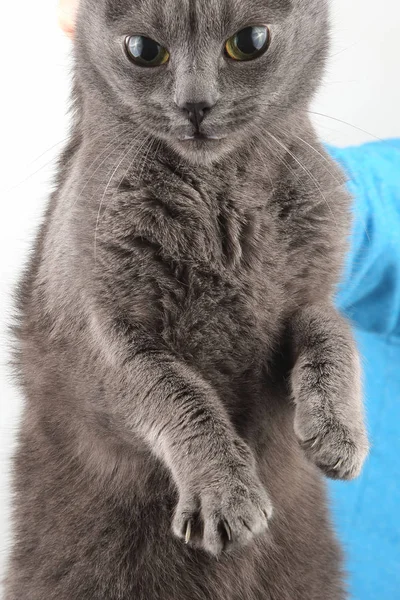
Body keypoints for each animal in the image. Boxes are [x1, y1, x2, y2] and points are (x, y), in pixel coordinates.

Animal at [5, 0, 368, 596]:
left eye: (249, 41)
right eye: (144, 50)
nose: (195, 104)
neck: (221, 195)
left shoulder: (309, 295)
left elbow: (332, 331)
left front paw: (338, 433)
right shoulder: (98, 336)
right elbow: (174, 390)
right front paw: (227, 496)